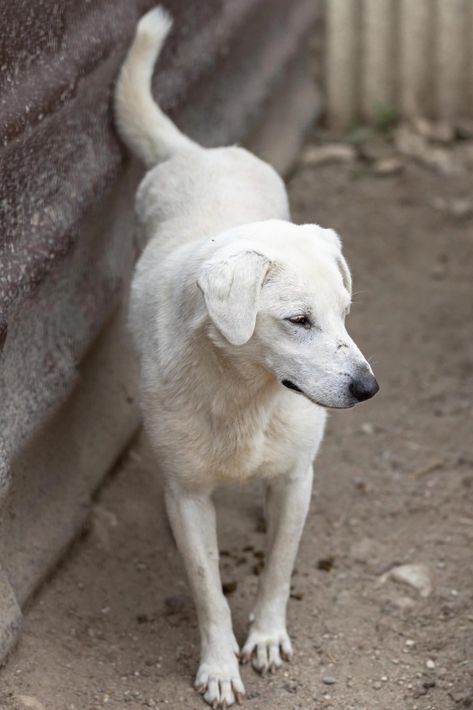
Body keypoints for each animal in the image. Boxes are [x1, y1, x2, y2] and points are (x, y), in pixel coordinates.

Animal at [115, 7, 379, 708]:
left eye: (345, 313)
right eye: (298, 321)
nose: (368, 387)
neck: (244, 393)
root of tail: (197, 152)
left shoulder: (296, 481)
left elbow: (278, 568)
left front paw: (264, 638)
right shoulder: (187, 497)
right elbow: (208, 590)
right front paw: (219, 666)